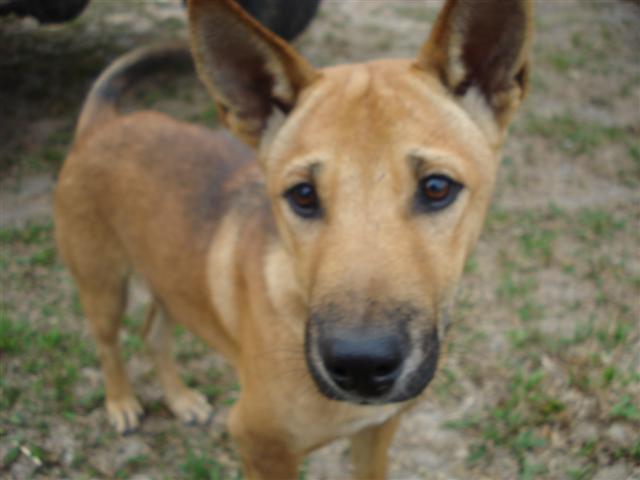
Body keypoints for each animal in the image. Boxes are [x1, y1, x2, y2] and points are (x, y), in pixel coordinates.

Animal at [54, 0, 533, 478]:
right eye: (302, 194)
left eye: (437, 187)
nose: (360, 366)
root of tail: (104, 124)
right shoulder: (258, 443)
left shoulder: (377, 431)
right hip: (102, 285)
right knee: (108, 343)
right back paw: (121, 403)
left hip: (167, 275)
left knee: (153, 330)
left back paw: (180, 399)